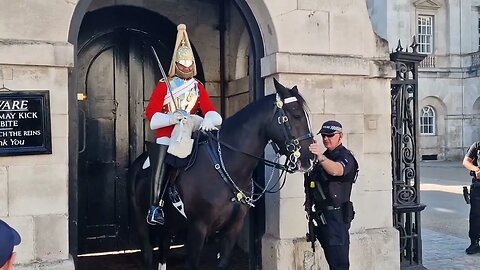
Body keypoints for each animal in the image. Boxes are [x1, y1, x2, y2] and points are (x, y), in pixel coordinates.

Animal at [128, 77, 316, 268]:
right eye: (296, 115)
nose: (311, 159)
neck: (227, 167)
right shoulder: (198, 228)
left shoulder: (232, 228)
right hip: (142, 221)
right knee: (148, 252)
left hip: (172, 224)